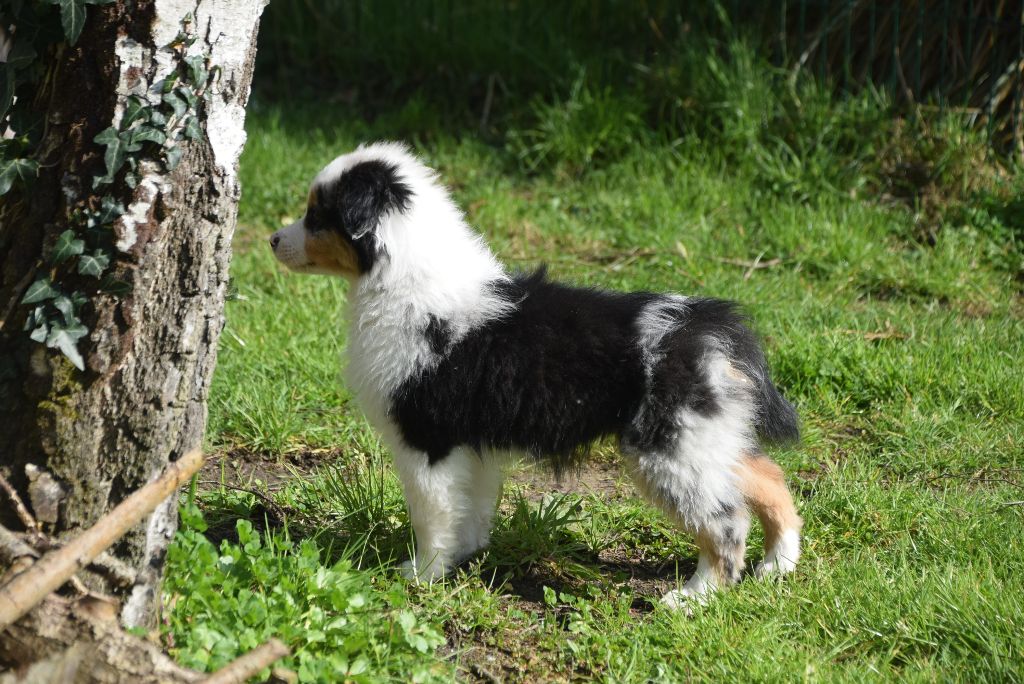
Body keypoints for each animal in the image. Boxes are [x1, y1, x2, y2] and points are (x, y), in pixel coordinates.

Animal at [270, 142, 802, 608]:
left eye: (318, 216)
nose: (273, 240)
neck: (404, 278)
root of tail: (711, 328)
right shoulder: (471, 443)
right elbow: (470, 507)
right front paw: (464, 557)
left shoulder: (427, 439)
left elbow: (431, 514)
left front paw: (422, 575)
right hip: (709, 437)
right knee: (769, 478)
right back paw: (779, 564)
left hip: (672, 449)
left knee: (727, 521)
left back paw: (695, 596)